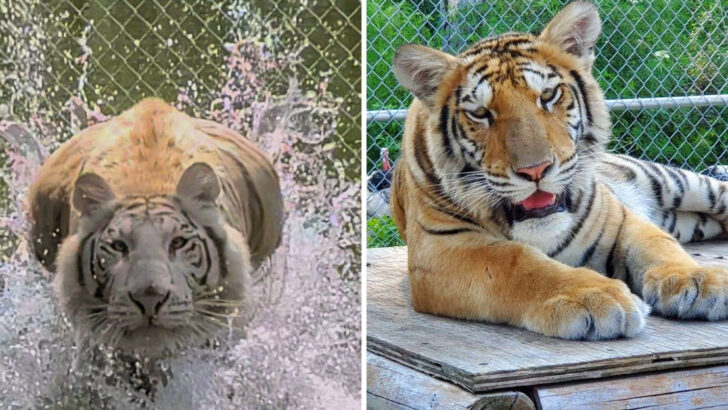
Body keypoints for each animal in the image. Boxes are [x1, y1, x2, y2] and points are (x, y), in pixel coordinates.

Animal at [390, 1, 728, 340]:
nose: (535, 170)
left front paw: (698, 278)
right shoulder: (441, 248)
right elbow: (517, 261)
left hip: (684, 184)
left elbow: (658, 245)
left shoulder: (620, 219)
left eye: (548, 96)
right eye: (481, 113)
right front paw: (594, 297)